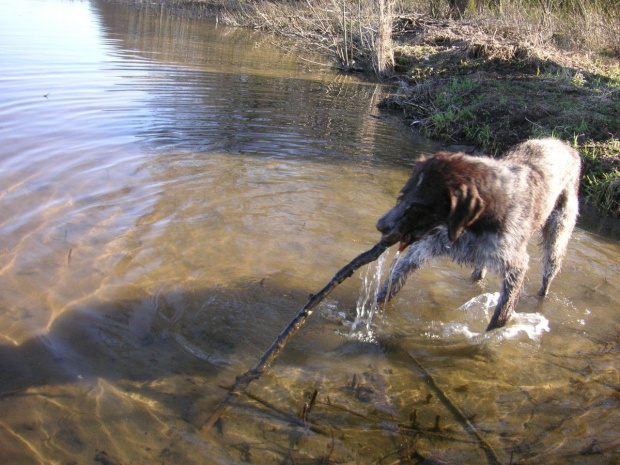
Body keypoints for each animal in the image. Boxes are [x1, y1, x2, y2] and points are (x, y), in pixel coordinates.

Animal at [372, 138, 580, 330]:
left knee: (547, 275)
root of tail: (565, 146)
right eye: (403, 196)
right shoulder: (422, 249)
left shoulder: (515, 267)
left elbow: (500, 317)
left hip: (557, 236)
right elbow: (389, 286)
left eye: (419, 206)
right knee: (479, 272)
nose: (381, 225)